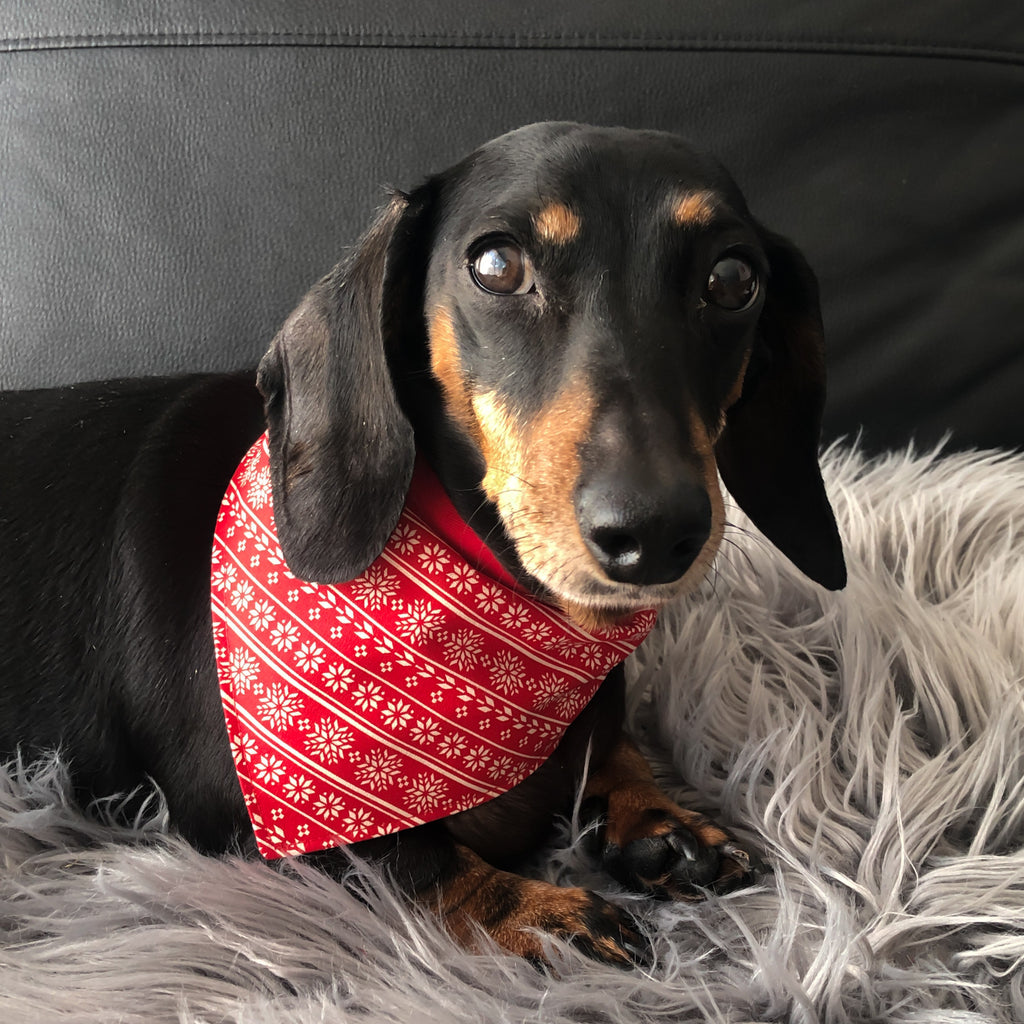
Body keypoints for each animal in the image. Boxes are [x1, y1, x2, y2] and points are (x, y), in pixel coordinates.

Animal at [0, 123, 843, 962]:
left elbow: (611, 745)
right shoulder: (248, 813)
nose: (655, 531)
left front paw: (659, 820)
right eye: (498, 265)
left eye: (733, 279)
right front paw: (541, 912)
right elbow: (410, 857)